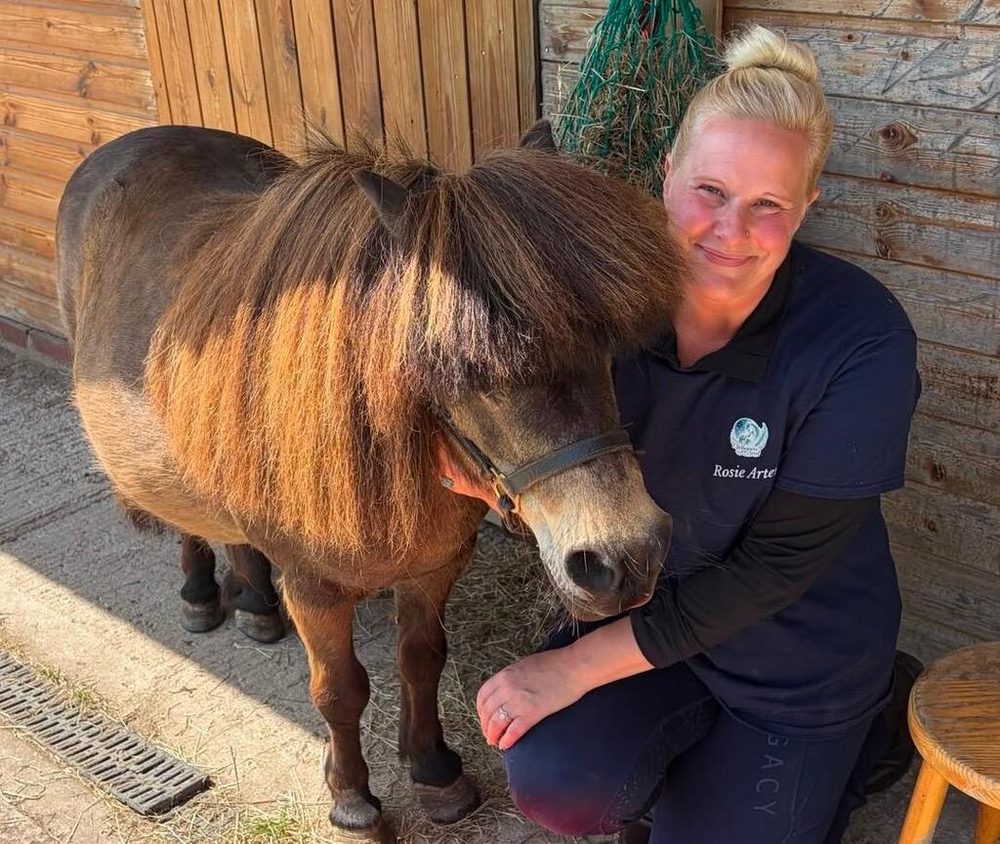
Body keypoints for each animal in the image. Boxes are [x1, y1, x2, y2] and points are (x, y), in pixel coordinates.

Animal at [56, 121, 683, 842]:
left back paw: (255, 602)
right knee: (186, 521)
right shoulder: (315, 589)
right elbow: (341, 690)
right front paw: (353, 798)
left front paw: (434, 770)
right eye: (464, 366)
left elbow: (422, 657)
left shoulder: (435, 565)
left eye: (603, 346)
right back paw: (201, 592)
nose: (626, 556)